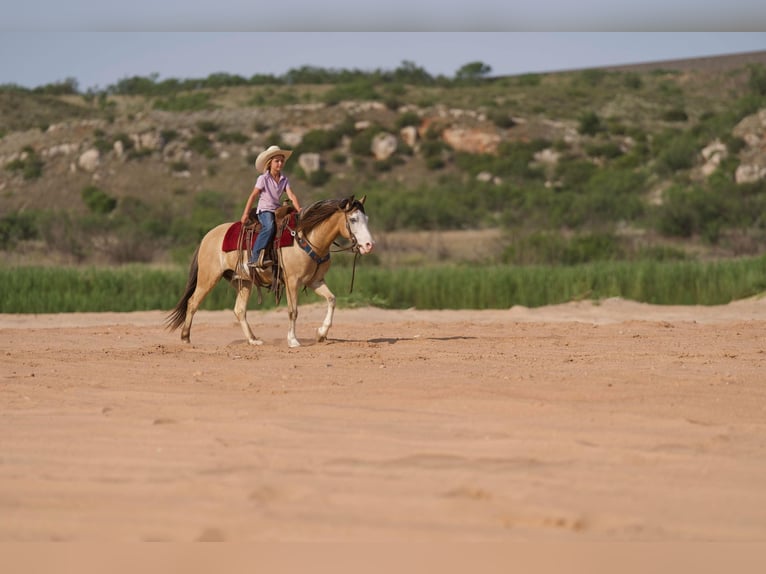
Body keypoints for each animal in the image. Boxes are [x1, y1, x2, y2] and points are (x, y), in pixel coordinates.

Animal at [166, 195, 374, 348]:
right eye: (353, 219)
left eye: (366, 219)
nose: (368, 245)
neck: (307, 237)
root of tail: (207, 237)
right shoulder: (292, 282)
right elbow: (293, 311)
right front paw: (293, 340)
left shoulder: (315, 281)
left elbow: (332, 300)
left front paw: (321, 334)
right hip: (208, 278)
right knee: (193, 303)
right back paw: (185, 337)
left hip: (243, 281)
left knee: (239, 310)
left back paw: (253, 340)